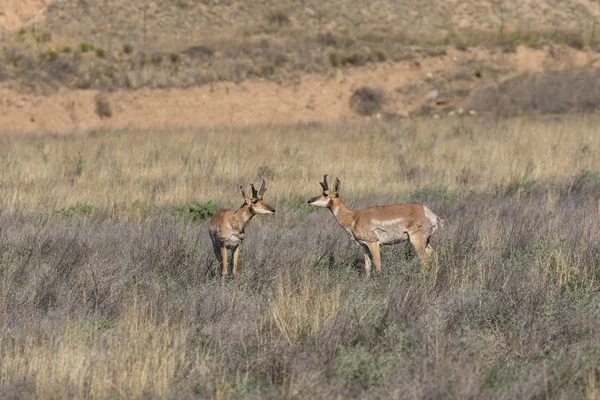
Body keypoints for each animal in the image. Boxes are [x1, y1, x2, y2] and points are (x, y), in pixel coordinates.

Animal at [310, 175, 440, 276]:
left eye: (325, 194)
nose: (309, 201)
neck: (354, 217)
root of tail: (429, 213)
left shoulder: (373, 243)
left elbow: (377, 266)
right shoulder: (364, 246)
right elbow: (367, 267)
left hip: (416, 241)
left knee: (425, 259)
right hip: (426, 242)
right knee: (435, 256)